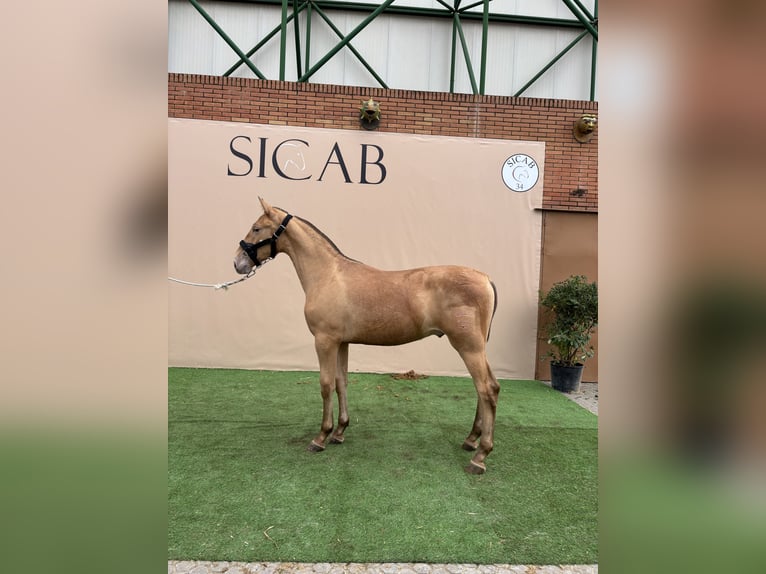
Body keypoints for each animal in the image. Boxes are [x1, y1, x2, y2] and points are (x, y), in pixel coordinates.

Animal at [232, 199, 504, 476]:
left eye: (256, 228)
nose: (237, 262)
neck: (328, 274)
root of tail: (486, 279)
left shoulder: (325, 341)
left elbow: (326, 385)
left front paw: (321, 437)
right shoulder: (341, 342)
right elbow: (341, 382)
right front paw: (340, 431)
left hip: (468, 347)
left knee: (486, 389)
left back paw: (480, 456)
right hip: (477, 348)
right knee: (487, 388)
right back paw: (471, 440)